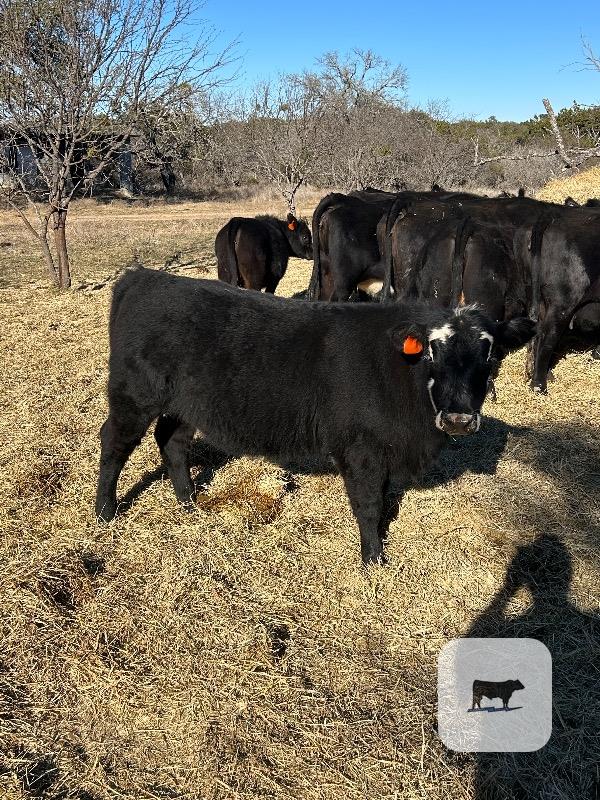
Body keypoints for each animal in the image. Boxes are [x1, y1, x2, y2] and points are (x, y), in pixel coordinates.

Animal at [95, 267, 535, 564]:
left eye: (489, 353)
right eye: (433, 350)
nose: (459, 420)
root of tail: (141, 277)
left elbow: (384, 500)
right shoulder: (360, 450)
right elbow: (368, 504)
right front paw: (373, 559)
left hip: (187, 403)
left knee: (171, 440)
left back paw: (188, 501)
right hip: (134, 395)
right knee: (114, 443)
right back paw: (105, 511)